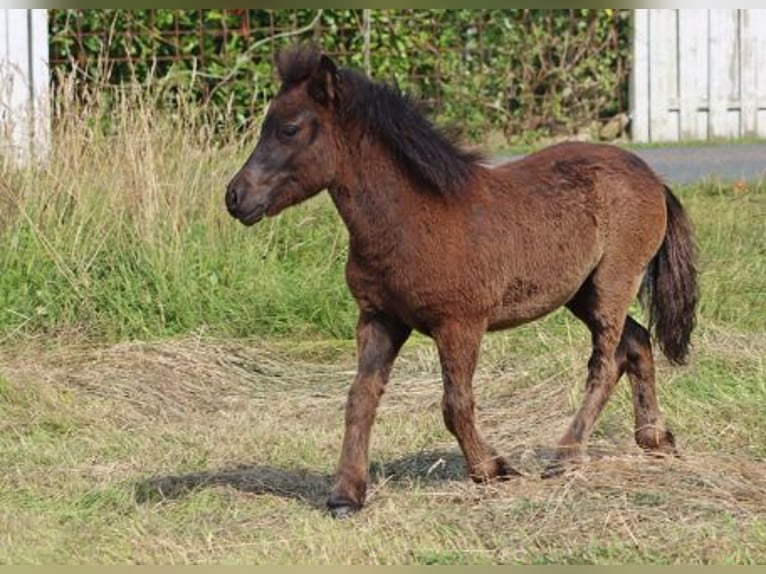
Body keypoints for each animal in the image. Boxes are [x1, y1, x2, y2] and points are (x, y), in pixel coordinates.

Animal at [225, 47, 700, 520]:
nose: (235, 197)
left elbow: (455, 404)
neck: (412, 218)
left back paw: (565, 457)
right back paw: (655, 438)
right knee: (636, 341)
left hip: (613, 282)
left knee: (605, 362)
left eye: (289, 128)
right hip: (581, 293)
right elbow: (360, 398)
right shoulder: (379, 319)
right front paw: (346, 494)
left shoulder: (461, 324)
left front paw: (493, 468)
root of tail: (652, 177)